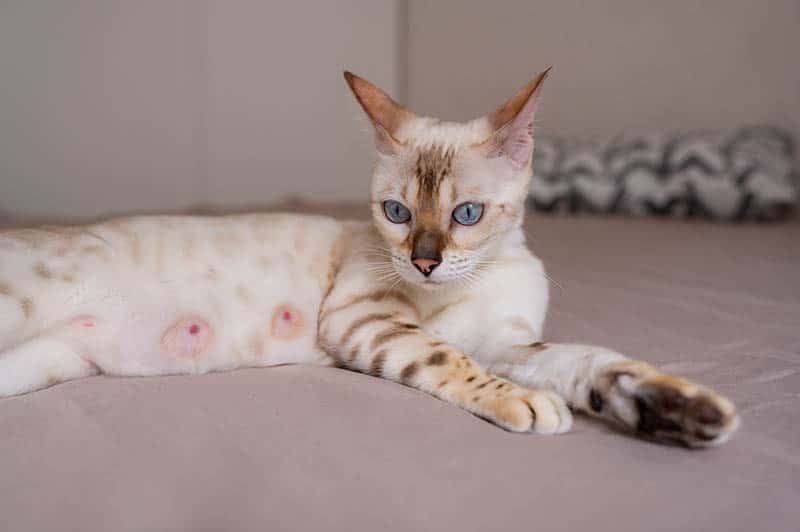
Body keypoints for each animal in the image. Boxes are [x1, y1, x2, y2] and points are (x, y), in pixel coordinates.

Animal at [0, 68, 736, 446]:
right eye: (397, 213)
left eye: (467, 215)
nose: (426, 263)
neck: (472, 284)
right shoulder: (363, 320)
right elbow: (451, 361)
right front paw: (525, 404)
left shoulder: (507, 341)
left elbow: (591, 362)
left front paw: (679, 411)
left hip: (37, 365)